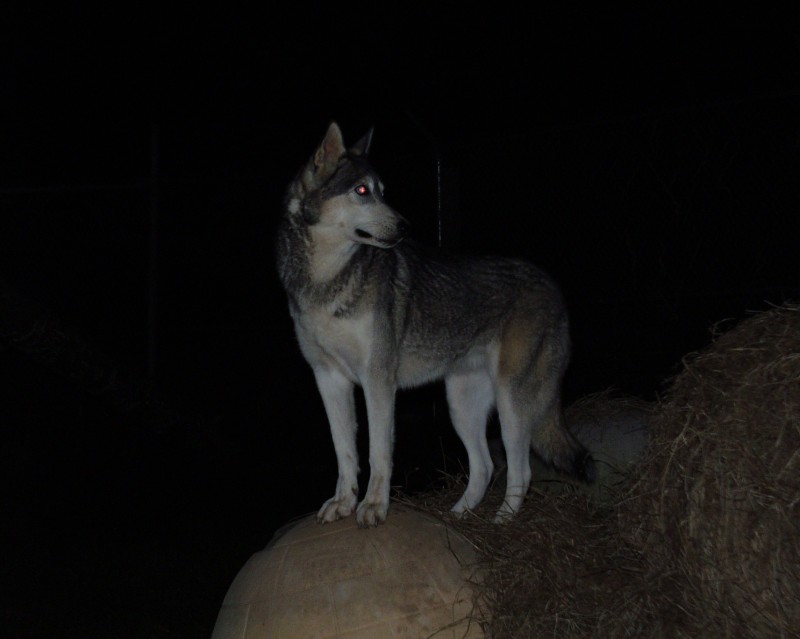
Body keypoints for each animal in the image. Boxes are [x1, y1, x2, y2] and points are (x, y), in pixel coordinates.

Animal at [277, 122, 595, 527]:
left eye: (383, 191)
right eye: (362, 191)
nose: (405, 226)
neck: (326, 279)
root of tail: (554, 288)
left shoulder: (378, 381)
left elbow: (378, 453)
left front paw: (374, 506)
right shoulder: (329, 379)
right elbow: (344, 452)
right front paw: (343, 503)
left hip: (512, 405)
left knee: (520, 471)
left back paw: (500, 523)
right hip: (460, 405)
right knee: (485, 467)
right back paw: (458, 518)